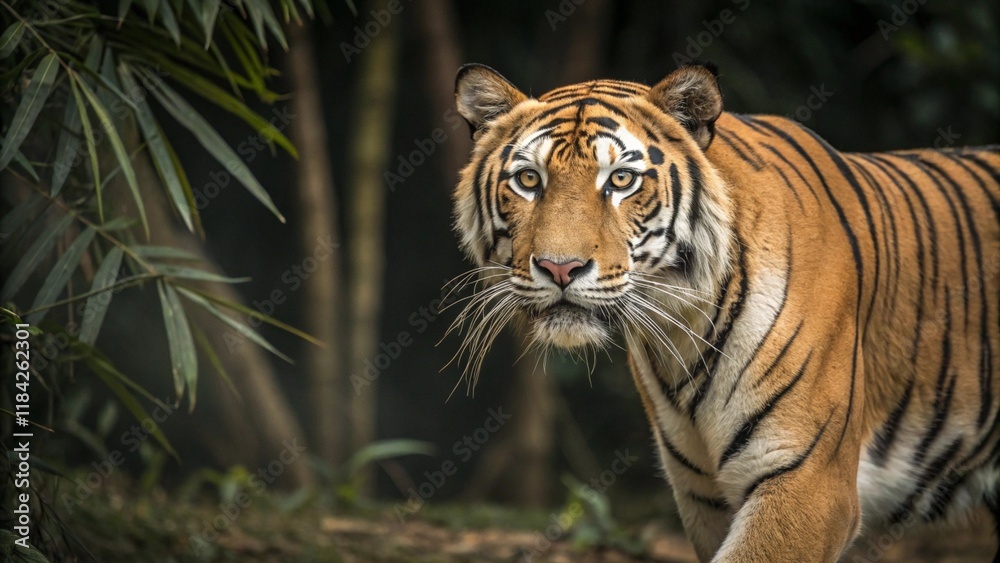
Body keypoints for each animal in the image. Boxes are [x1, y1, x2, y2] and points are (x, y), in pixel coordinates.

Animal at [447, 62, 1000, 562]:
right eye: (528, 179)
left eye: (621, 180)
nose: (560, 268)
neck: (683, 326)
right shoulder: (702, 493)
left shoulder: (810, 481)